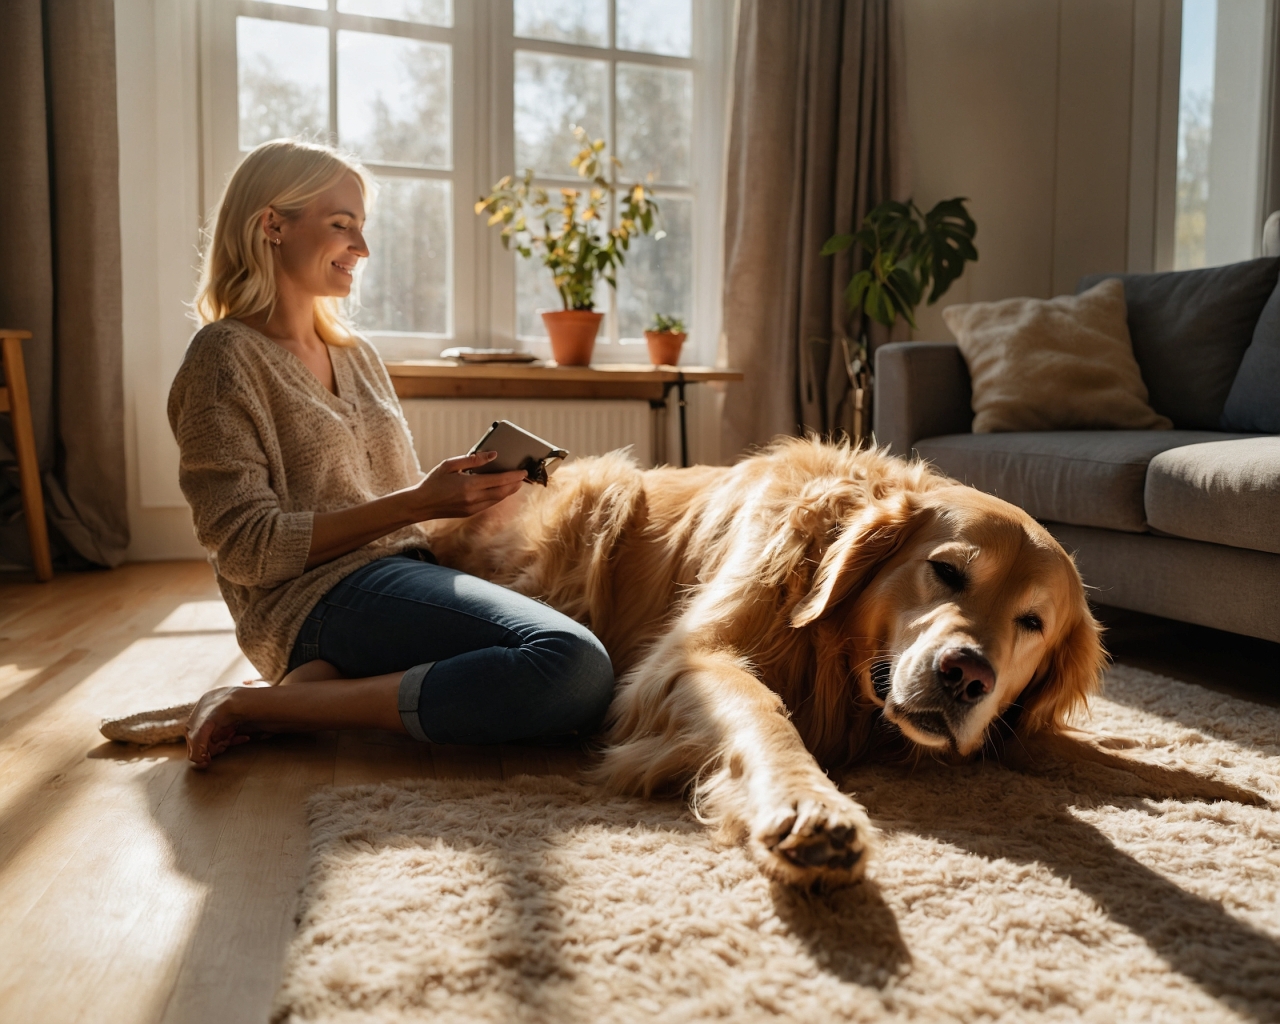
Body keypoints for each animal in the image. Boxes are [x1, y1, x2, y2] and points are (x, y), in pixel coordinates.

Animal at [427, 440, 1249, 885]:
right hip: (605, 499)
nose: (967, 676)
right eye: (947, 572)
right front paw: (809, 807)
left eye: (1032, 623)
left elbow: (1087, 750)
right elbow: (763, 710)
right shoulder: (687, 658)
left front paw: (1219, 784)